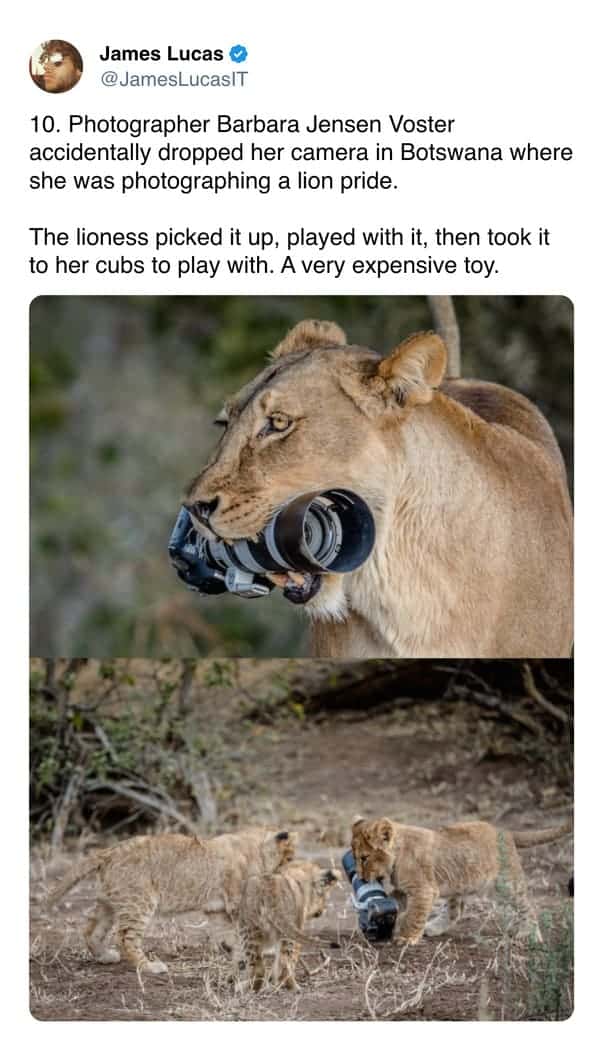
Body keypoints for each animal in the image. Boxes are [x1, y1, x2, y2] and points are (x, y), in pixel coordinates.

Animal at [47, 827, 296, 974]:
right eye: (289, 858)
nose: (289, 878)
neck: (255, 849)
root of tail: (109, 852)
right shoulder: (236, 903)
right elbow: (250, 929)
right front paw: (265, 950)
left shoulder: (216, 910)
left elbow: (228, 934)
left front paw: (237, 951)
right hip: (140, 901)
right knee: (125, 936)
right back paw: (149, 967)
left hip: (110, 902)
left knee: (91, 930)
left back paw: (105, 956)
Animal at [238, 860, 339, 991]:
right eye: (323, 897)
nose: (321, 912)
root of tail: (268, 892)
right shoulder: (298, 926)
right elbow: (292, 958)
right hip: (287, 931)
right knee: (284, 963)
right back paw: (293, 987)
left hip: (249, 929)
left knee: (257, 966)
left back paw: (251, 988)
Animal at [351, 816, 572, 944]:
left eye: (364, 857)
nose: (360, 877)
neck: (397, 855)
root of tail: (506, 831)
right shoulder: (407, 890)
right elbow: (393, 901)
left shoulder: (423, 890)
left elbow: (414, 915)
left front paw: (405, 938)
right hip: (457, 882)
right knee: (455, 911)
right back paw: (433, 928)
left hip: (507, 882)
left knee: (526, 905)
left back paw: (529, 933)